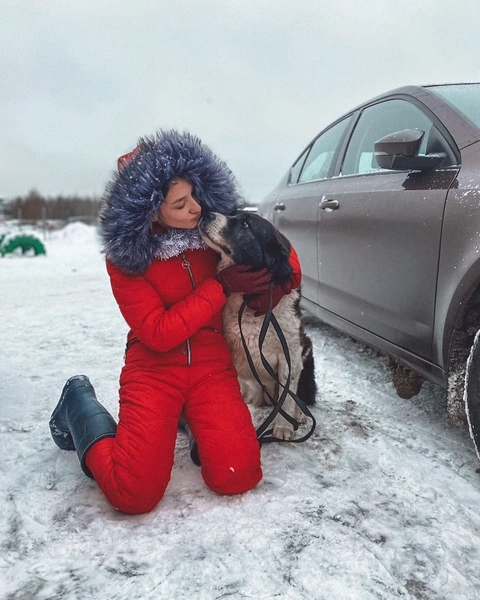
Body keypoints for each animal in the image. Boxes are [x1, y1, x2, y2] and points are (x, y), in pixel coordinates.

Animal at [198, 211, 316, 440]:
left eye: (245, 224)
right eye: (233, 213)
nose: (206, 213)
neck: (250, 299)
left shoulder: (291, 353)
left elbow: (288, 395)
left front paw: (283, 427)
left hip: (306, 348)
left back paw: (299, 414)